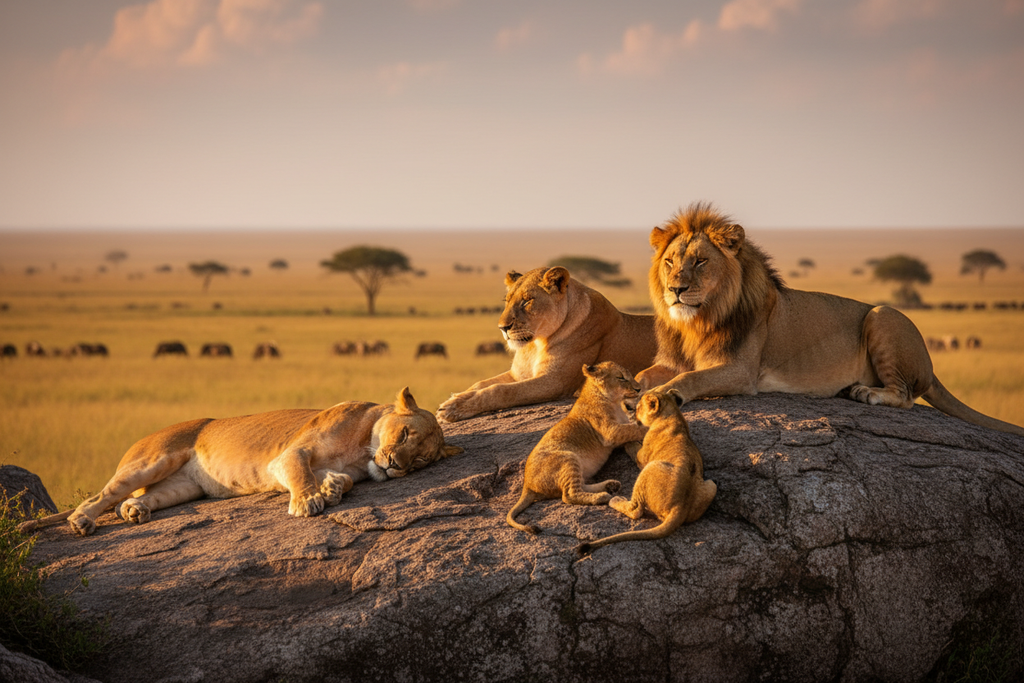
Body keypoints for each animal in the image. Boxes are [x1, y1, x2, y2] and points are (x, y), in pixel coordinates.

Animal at [19, 387, 464, 537]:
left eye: (419, 461)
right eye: (403, 435)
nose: (394, 466)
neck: (363, 446)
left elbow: (347, 481)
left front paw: (334, 487)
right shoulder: (288, 455)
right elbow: (300, 474)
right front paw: (309, 501)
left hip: (183, 486)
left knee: (136, 499)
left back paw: (135, 512)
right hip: (152, 459)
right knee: (103, 495)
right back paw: (82, 520)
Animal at [438, 266, 657, 422]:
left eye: (527, 301)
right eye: (506, 301)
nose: (502, 327)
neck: (535, 344)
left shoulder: (554, 383)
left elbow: (500, 390)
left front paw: (454, 409)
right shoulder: (518, 374)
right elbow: (480, 384)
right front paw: (454, 399)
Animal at [506, 362, 648, 535]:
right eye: (621, 377)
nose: (639, 389)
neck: (614, 402)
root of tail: (527, 485)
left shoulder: (617, 435)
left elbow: (631, 435)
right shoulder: (610, 432)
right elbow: (634, 428)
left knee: (579, 486)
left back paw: (610, 485)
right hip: (568, 458)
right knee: (568, 495)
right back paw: (602, 496)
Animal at [577, 389, 716, 555]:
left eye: (638, 408)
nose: (632, 413)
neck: (673, 415)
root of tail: (680, 508)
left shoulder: (642, 457)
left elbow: (633, 448)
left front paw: (628, 441)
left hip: (650, 467)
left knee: (636, 510)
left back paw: (615, 500)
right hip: (712, 484)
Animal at [636, 202, 1024, 437]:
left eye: (701, 261)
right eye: (670, 261)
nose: (675, 289)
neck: (696, 321)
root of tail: (930, 366)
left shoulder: (741, 371)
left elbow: (692, 377)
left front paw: (662, 395)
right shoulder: (672, 360)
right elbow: (644, 374)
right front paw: (633, 387)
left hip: (882, 315)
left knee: (906, 396)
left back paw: (865, 393)